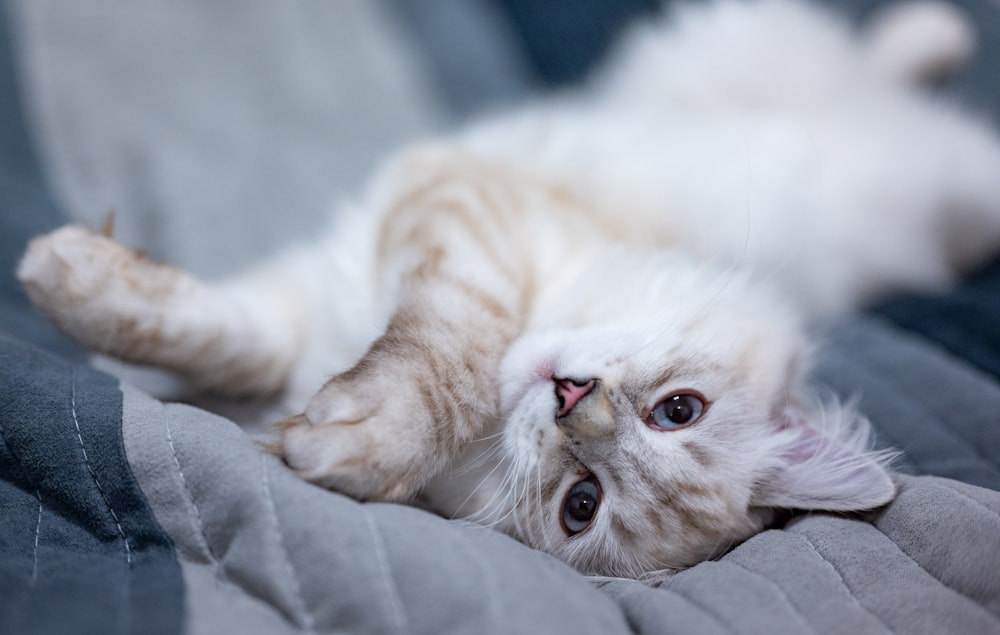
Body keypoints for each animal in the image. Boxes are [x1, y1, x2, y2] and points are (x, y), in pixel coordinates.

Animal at [13, 0, 1000, 580]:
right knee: (869, 56)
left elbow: (287, 356)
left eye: (582, 503)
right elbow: (215, 329)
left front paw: (342, 444)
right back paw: (939, 33)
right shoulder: (451, 221)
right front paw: (62, 273)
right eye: (679, 409)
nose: (573, 399)